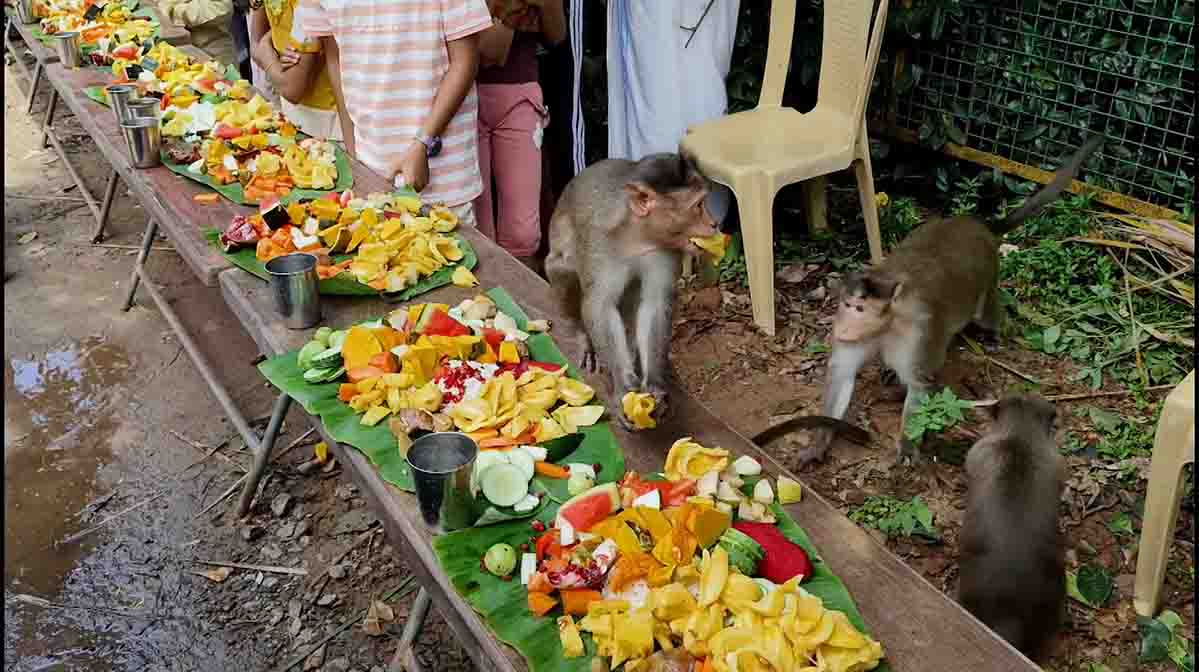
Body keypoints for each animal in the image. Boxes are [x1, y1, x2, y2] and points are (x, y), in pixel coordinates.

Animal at [544, 152, 718, 429]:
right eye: (698, 206)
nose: (714, 223)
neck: (637, 237)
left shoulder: (664, 251)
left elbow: (654, 303)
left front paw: (655, 385)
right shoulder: (599, 243)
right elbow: (600, 306)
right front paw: (624, 386)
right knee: (564, 266)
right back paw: (583, 337)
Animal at [796, 134, 1104, 466]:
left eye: (860, 308)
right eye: (846, 305)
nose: (841, 328)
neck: (886, 325)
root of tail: (977, 224)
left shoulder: (917, 334)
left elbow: (920, 384)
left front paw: (907, 446)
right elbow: (842, 376)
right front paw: (818, 442)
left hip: (987, 275)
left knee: (986, 312)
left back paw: (994, 331)